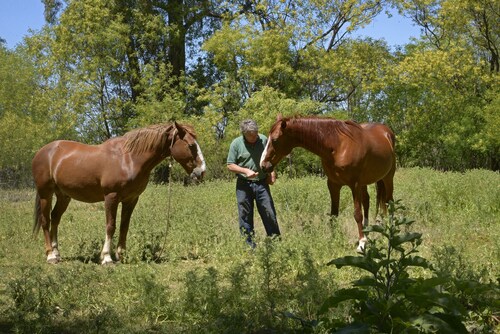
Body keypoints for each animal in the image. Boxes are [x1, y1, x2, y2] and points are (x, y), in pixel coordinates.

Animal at [32, 122, 205, 264]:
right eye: (191, 145)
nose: (202, 172)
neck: (129, 159)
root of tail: (42, 152)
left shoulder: (131, 199)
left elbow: (124, 226)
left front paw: (121, 255)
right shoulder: (111, 197)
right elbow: (111, 226)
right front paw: (106, 257)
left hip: (63, 196)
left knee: (55, 218)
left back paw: (57, 253)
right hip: (45, 193)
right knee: (46, 221)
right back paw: (50, 256)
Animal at [262, 116, 394, 252]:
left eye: (275, 139)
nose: (263, 165)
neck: (338, 146)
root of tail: (386, 132)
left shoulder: (355, 185)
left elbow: (357, 214)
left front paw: (361, 243)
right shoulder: (333, 185)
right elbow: (334, 214)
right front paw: (333, 240)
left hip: (387, 178)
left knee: (390, 202)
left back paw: (389, 232)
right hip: (364, 183)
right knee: (367, 201)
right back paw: (367, 232)